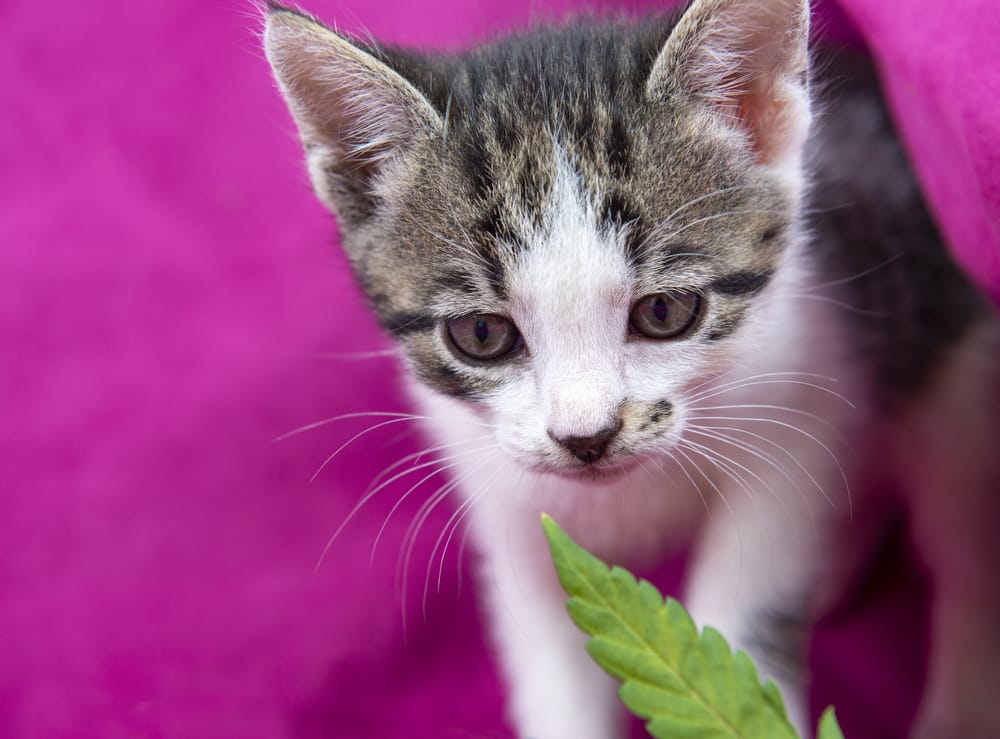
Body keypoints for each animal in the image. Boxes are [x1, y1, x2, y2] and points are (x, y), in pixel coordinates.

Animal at [264, 2, 1000, 736]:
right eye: (480, 333)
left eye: (666, 311)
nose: (586, 437)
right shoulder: (502, 494)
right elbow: (550, 662)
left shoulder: (799, 404)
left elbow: (745, 612)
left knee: (967, 562)